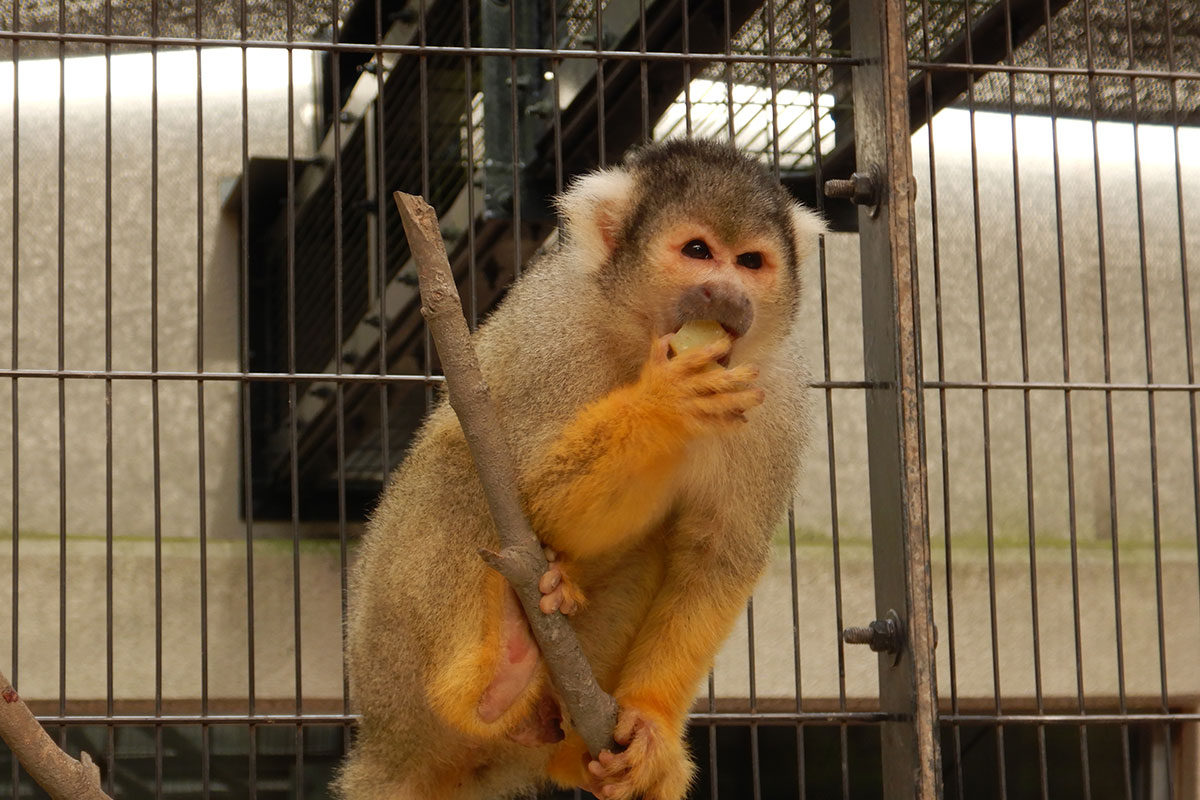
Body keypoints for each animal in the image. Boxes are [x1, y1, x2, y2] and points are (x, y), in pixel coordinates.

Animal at [338, 140, 825, 800]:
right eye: (698, 252)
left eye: (751, 262)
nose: (725, 292)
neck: (640, 338)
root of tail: (383, 747)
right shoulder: (559, 337)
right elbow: (527, 493)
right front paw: (663, 406)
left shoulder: (775, 398)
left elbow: (718, 553)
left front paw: (651, 723)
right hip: (386, 658)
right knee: (462, 468)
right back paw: (498, 673)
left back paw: (566, 744)